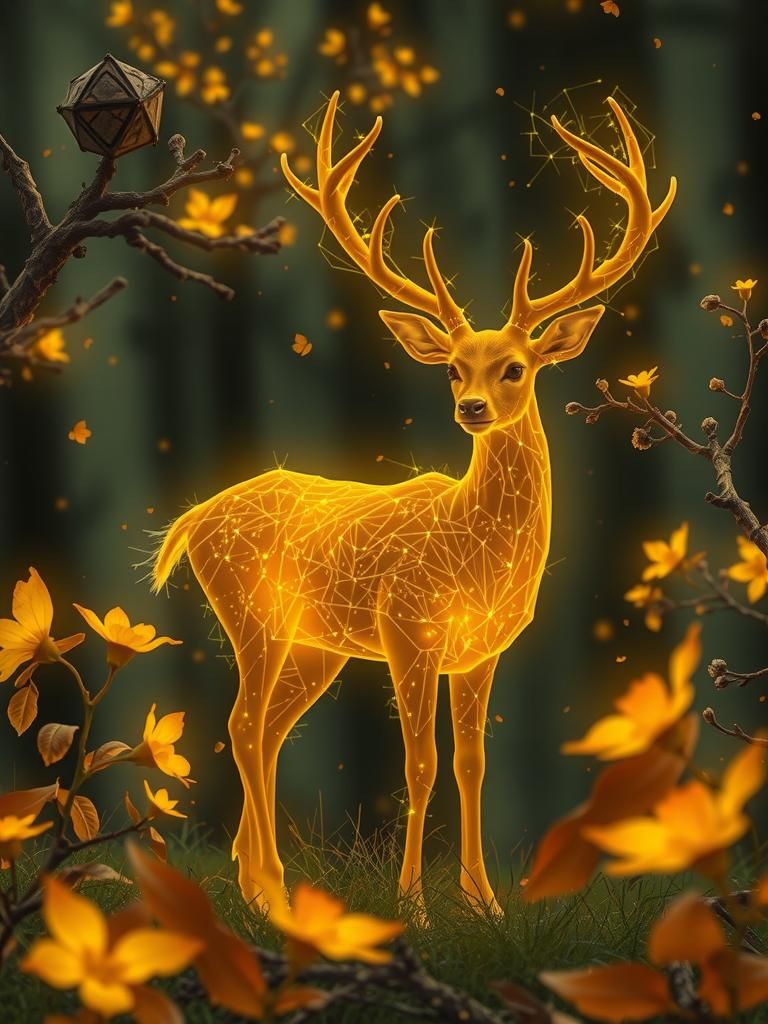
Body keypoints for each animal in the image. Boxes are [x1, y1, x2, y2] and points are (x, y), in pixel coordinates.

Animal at [153, 91, 676, 915]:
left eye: (515, 367)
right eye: (455, 367)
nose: (470, 408)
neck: (476, 548)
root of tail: (193, 517)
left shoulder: (482, 649)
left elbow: (470, 764)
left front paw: (485, 903)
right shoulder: (407, 628)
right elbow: (419, 764)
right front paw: (414, 908)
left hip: (318, 644)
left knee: (268, 730)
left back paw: (250, 876)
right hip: (252, 609)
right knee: (241, 723)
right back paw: (269, 885)